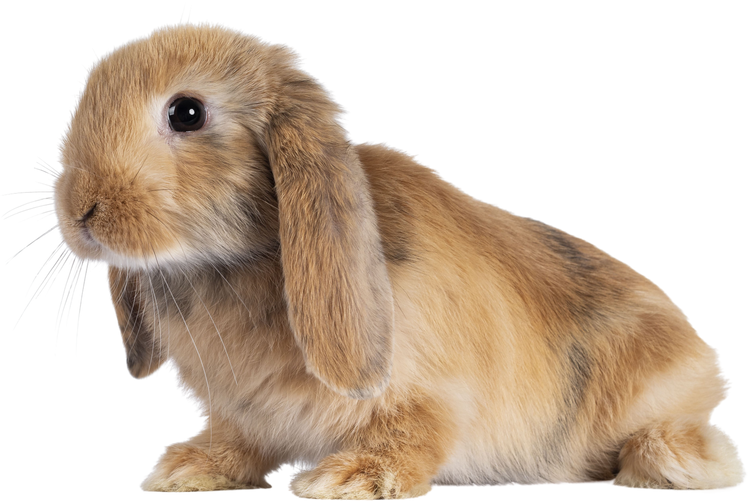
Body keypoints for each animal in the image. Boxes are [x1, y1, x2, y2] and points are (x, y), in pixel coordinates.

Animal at [51, 18, 744, 496]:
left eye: (187, 112)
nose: (81, 210)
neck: (238, 264)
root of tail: (705, 357)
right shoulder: (244, 415)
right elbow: (238, 443)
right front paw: (188, 469)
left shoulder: (434, 393)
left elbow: (414, 435)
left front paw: (349, 478)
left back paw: (666, 465)